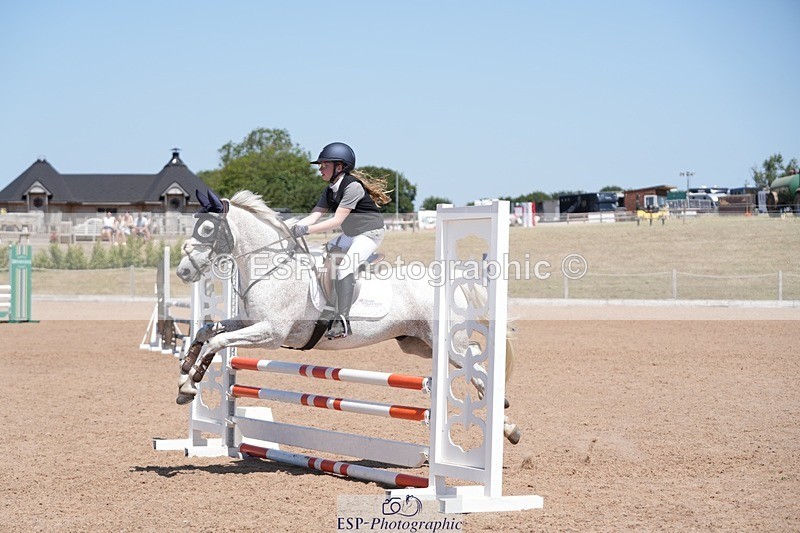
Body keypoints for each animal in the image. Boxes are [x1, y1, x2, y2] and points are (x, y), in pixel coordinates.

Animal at [175, 190, 522, 444]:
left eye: (207, 228)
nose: (183, 271)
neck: (271, 267)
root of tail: (450, 280)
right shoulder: (251, 324)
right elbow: (207, 332)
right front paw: (183, 374)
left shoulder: (270, 333)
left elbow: (216, 342)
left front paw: (190, 385)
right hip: (420, 344)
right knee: (473, 360)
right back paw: (505, 421)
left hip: (445, 342)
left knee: (474, 363)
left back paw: (506, 423)